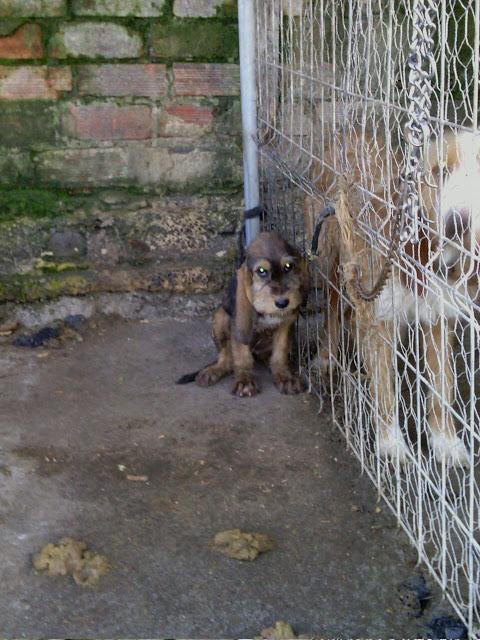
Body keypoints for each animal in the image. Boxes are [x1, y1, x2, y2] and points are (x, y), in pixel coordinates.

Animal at [178, 232, 310, 396]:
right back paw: (212, 371)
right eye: (261, 271)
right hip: (220, 317)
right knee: (226, 360)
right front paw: (244, 381)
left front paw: (285, 377)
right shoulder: (238, 325)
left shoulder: (285, 324)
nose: (282, 303)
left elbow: (280, 353)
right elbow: (242, 356)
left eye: (288, 267)